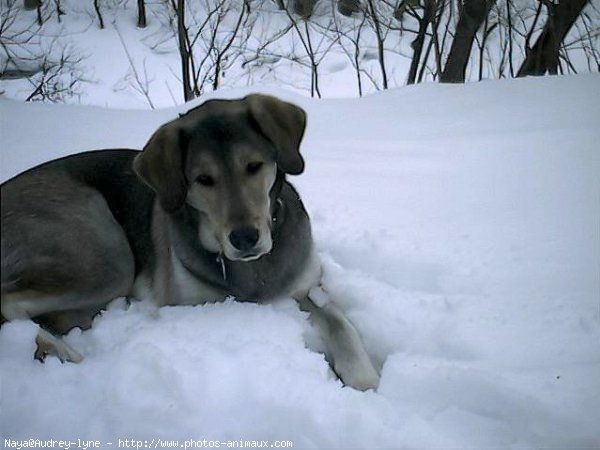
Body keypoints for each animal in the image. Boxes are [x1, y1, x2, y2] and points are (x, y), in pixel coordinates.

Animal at [1, 94, 380, 390]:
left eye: (254, 166)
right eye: (203, 179)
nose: (245, 238)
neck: (249, 269)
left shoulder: (308, 286)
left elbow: (341, 323)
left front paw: (362, 377)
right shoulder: (186, 304)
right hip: (105, 254)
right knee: (8, 303)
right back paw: (59, 351)